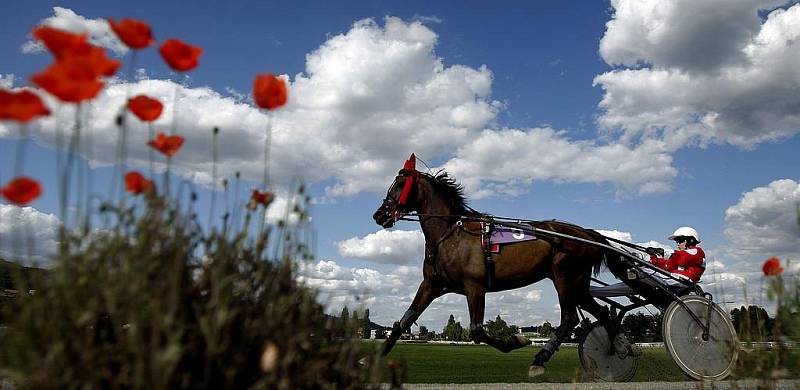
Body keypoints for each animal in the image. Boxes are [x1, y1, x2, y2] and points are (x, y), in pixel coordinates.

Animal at [372, 154, 628, 376]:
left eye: (400, 184)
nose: (379, 215)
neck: (450, 234)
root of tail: (587, 234)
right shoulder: (431, 285)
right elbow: (404, 321)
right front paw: (373, 359)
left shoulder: (475, 287)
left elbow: (477, 330)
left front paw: (516, 340)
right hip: (578, 284)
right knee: (601, 312)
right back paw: (614, 349)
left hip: (565, 277)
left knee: (569, 319)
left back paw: (541, 359)